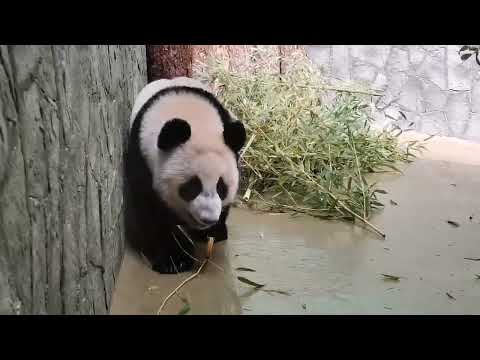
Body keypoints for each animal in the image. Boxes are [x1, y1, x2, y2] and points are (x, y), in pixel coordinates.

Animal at [125, 76, 246, 272]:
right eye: (191, 186)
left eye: (222, 187)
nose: (208, 219)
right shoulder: (141, 158)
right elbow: (151, 210)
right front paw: (174, 260)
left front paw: (214, 232)